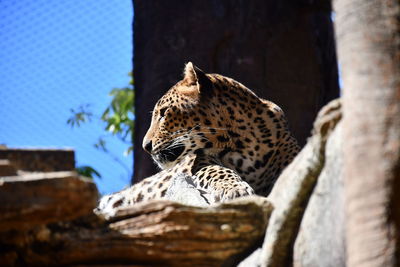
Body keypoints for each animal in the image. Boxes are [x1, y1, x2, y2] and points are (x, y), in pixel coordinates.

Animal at [95, 61, 298, 214]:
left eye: (164, 113)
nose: (146, 146)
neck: (243, 142)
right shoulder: (199, 163)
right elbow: (217, 171)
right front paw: (235, 189)